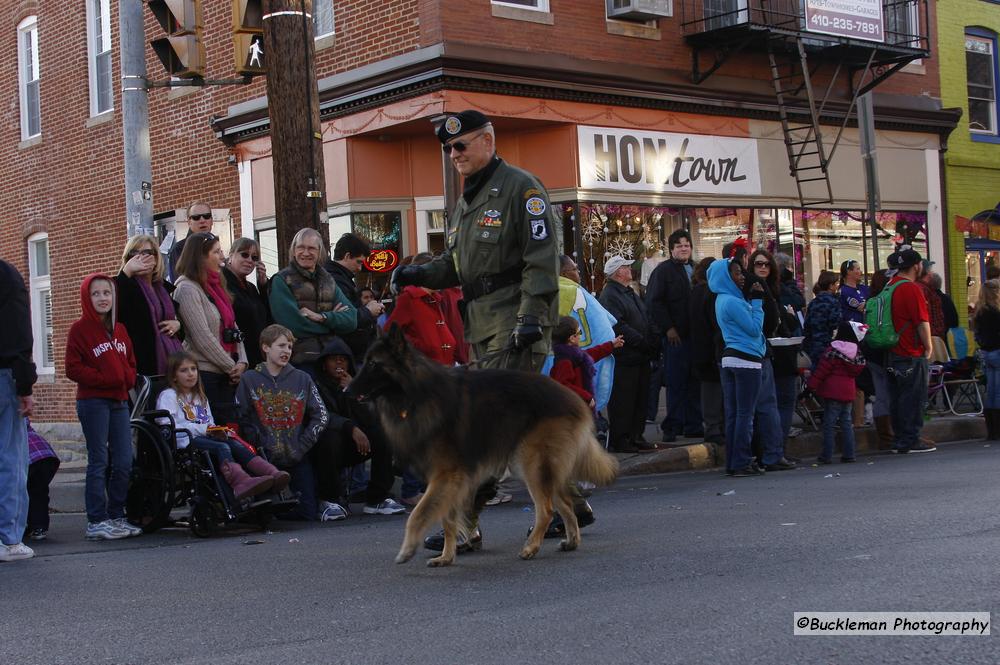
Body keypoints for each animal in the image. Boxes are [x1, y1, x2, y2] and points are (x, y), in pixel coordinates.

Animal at [350, 326, 616, 564]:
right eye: (366, 361)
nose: (346, 389)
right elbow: (447, 518)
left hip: (530, 463)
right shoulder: (450, 480)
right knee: (564, 503)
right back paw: (571, 540)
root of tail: (574, 399)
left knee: (547, 509)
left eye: (373, 364)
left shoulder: (446, 475)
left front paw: (408, 549)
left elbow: (417, 514)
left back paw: (531, 547)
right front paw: (447, 556)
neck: (417, 393)